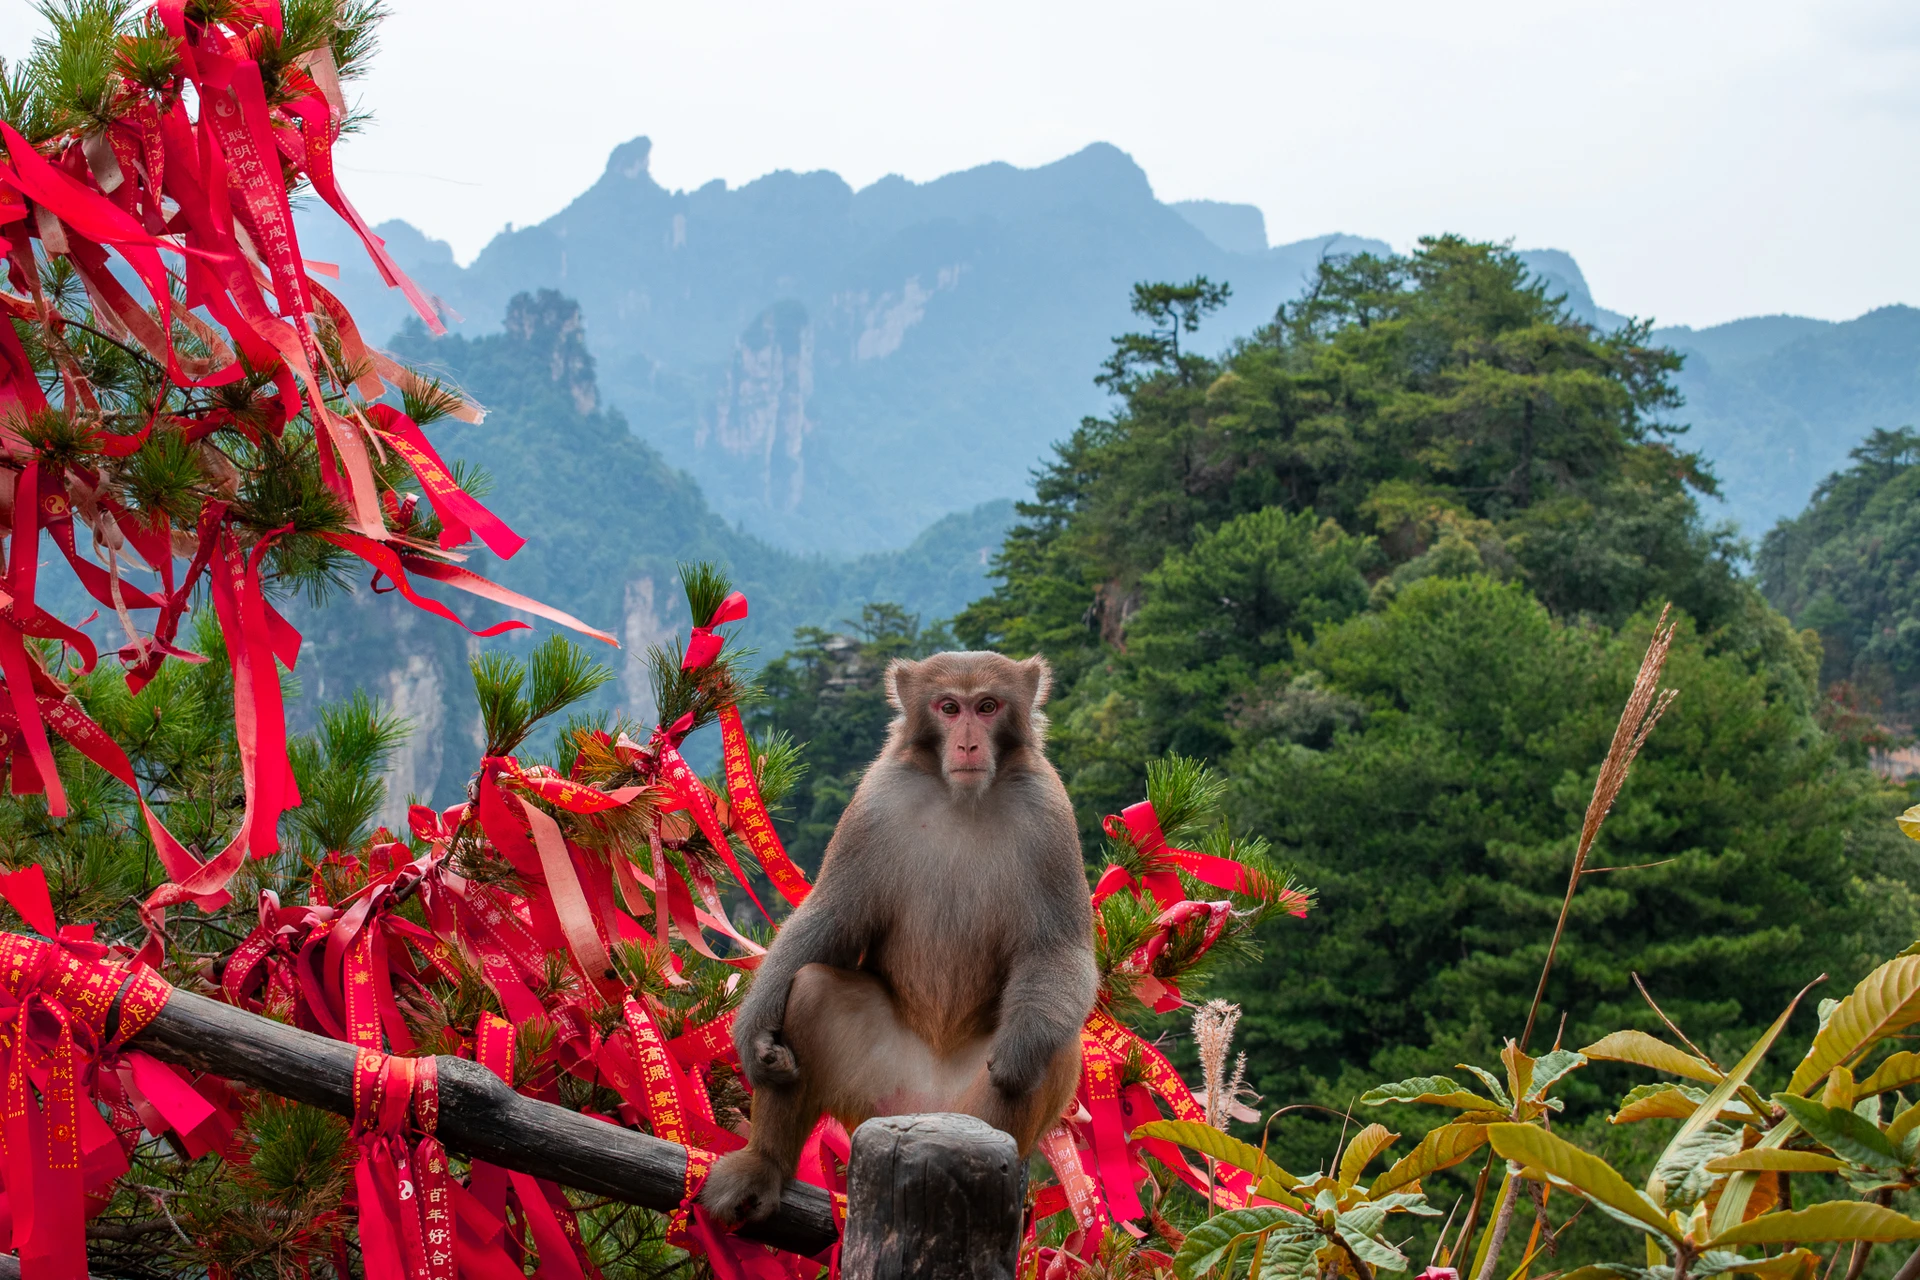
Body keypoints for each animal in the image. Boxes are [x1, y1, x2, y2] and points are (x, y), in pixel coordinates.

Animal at [700, 650, 1097, 1224]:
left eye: (988, 706)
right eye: (949, 708)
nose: (968, 744)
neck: (964, 797)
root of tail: (924, 1108)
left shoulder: (1049, 812)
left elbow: (1059, 950)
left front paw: (1022, 1049)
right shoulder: (877, 801)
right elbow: (831, 918)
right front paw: (754, 1033)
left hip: (970, 1101)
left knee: (1054, 1045)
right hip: (871, 1089)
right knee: (813, 989)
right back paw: (765, 1164)